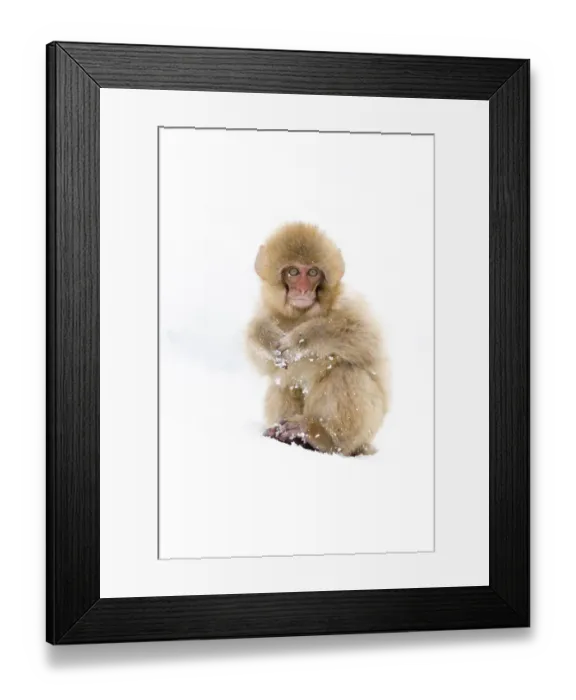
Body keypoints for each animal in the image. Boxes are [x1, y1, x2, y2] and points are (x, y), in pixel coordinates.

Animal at [246, 222, 388, 457]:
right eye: (293, 272)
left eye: (313, 272)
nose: (303, 289)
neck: (302, 314)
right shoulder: (269, 310)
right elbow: (265, 364)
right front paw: (265, 338)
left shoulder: (348, 302)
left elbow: (365, 336)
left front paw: (300, 340)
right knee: (282, 382)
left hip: (364, 431)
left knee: (346, 371)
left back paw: (321, 436)